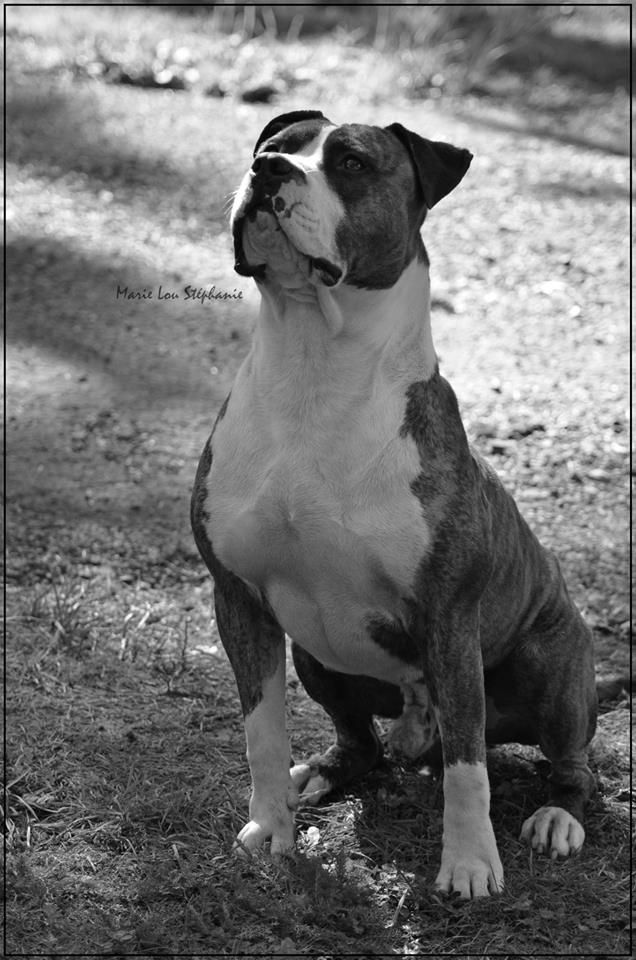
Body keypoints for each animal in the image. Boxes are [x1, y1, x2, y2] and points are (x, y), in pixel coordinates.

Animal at [191, 110, 598, 899]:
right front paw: (271, 830)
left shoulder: (450, 618)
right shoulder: (241, 600)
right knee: (364, 746)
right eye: (277, 145)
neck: (314, 369)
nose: (266, 169)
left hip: (553, 664)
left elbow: (469, 767)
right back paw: (319, 776)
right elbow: (261, 730)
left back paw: (556, 818)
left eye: (351, 162)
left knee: (567, 765)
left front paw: (469, 864)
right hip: (320, 656)